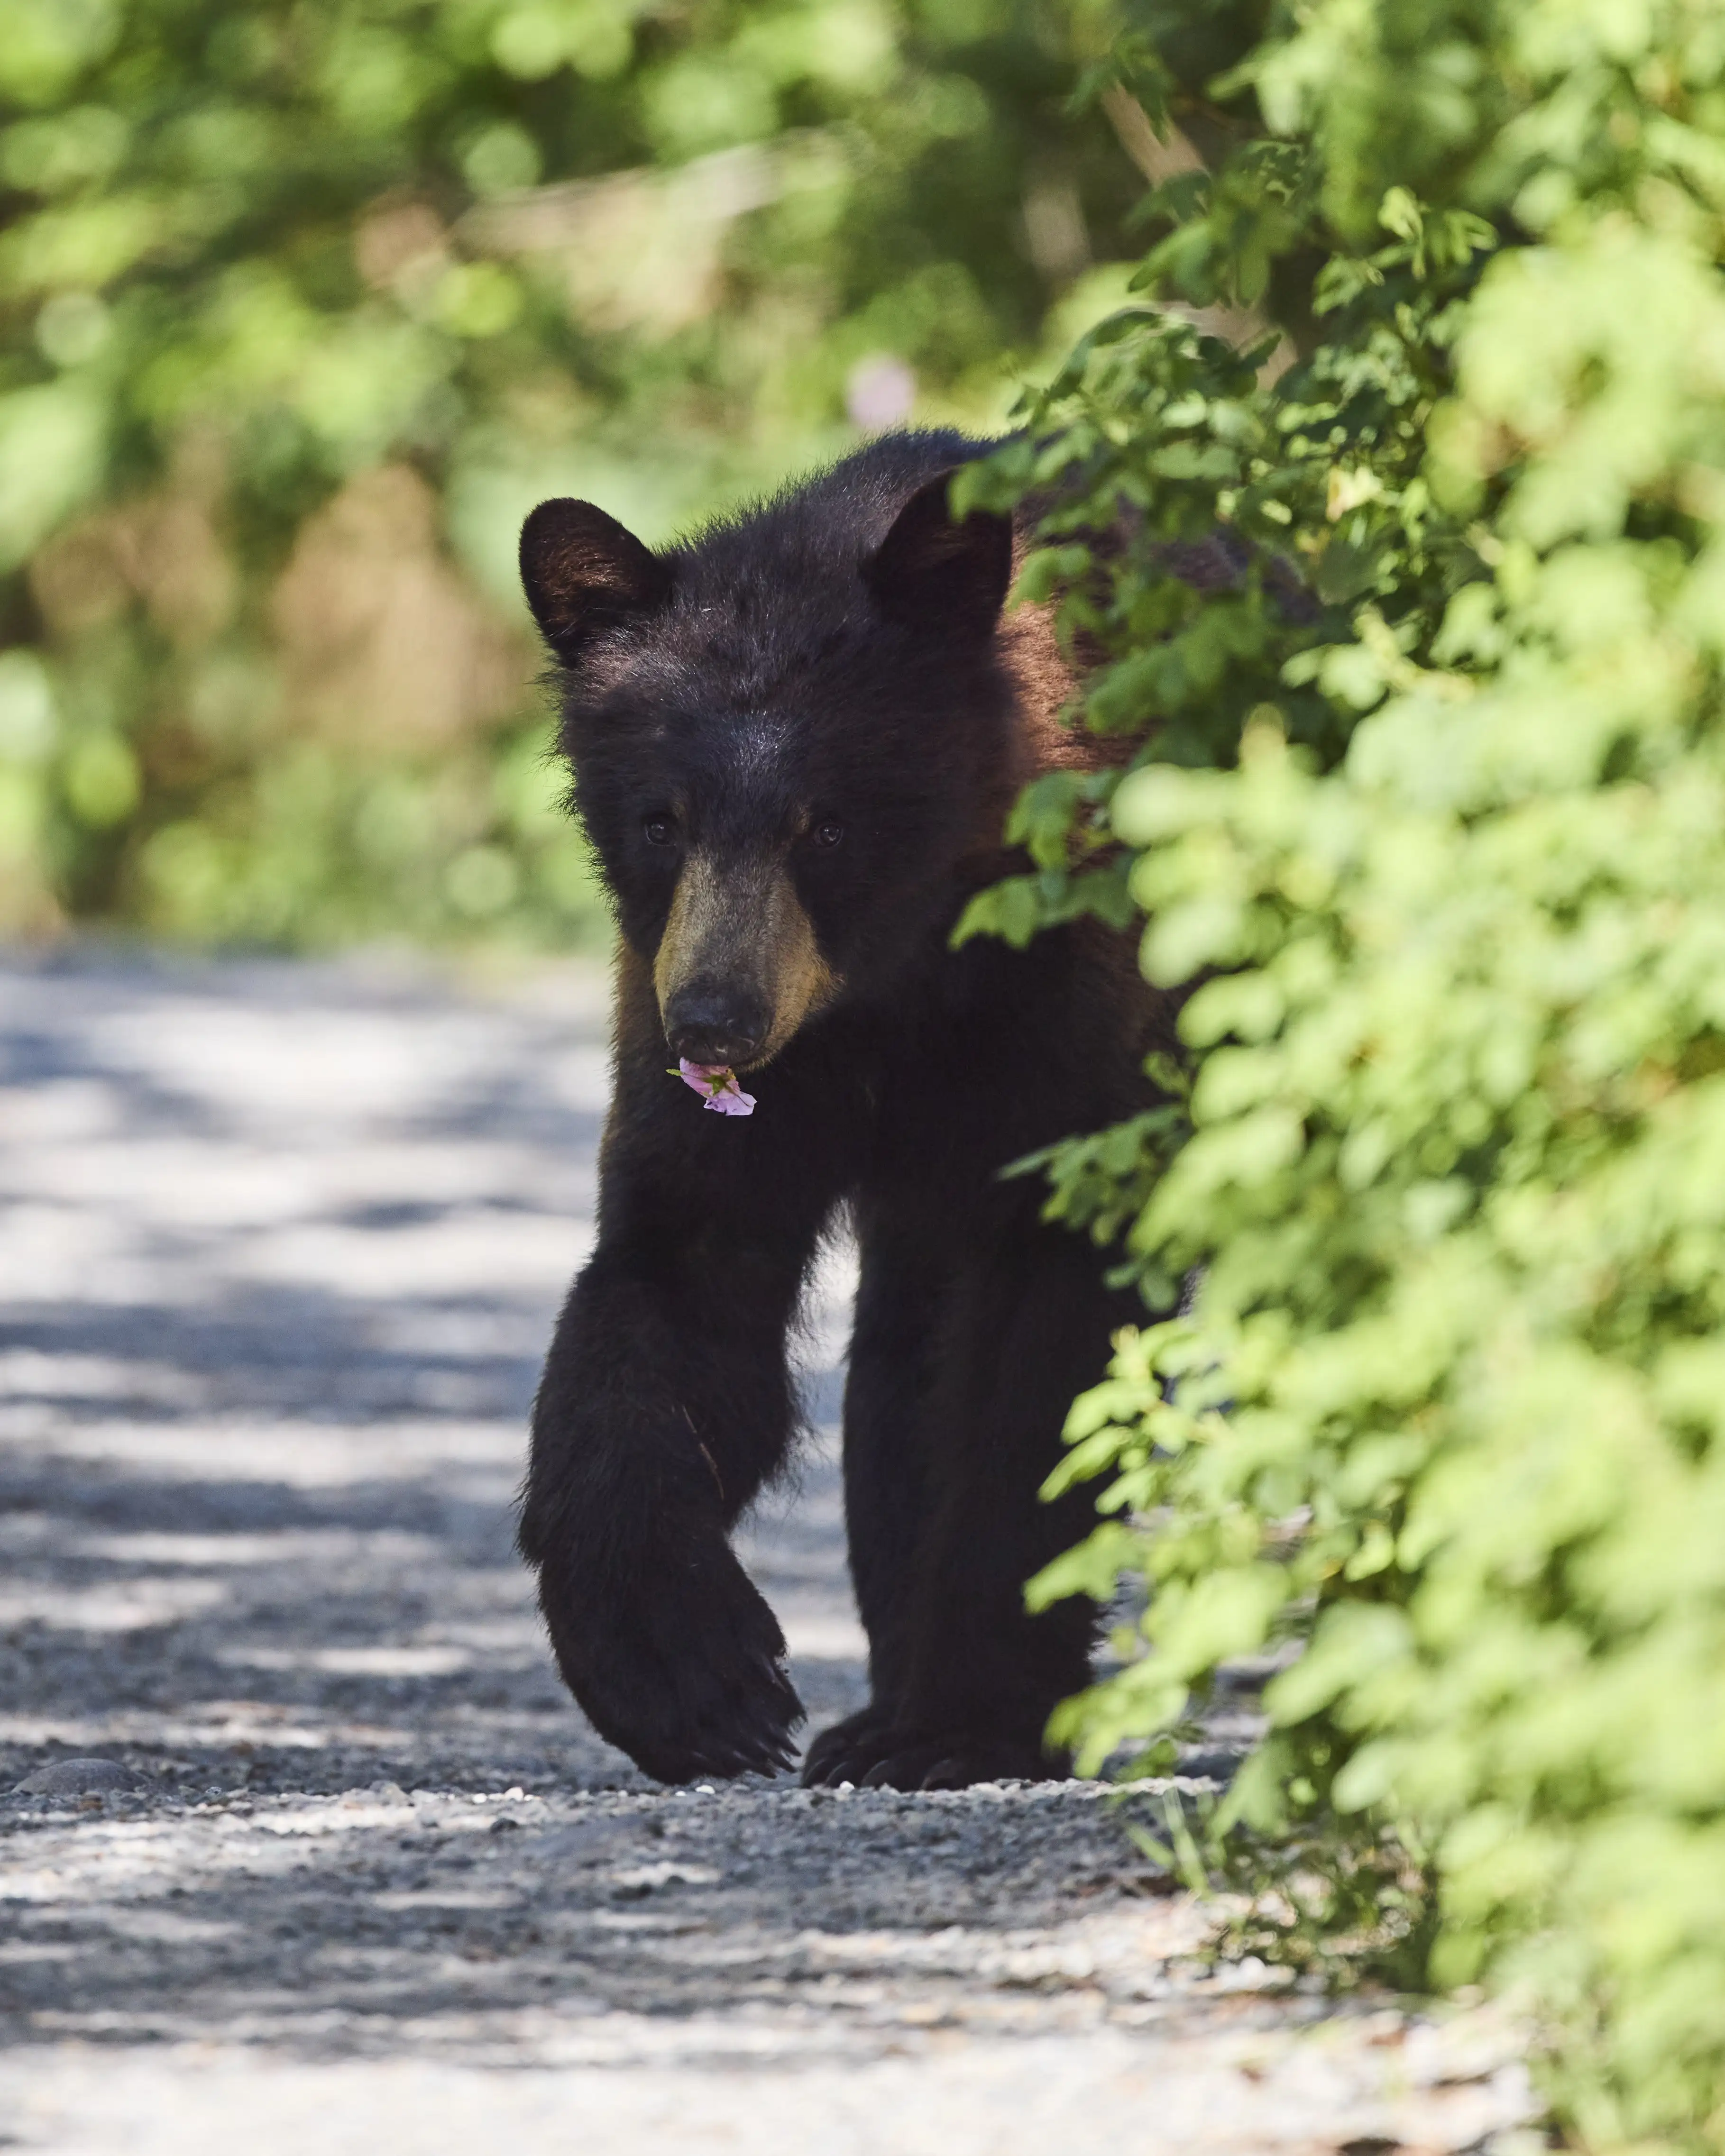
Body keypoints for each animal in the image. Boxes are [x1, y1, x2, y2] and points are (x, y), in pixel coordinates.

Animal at [515, 429, 1167, 1790]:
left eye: (826, 823)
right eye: (660, 819)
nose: (714, 1024)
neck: (889, 992)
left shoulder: (1069, 1016)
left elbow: (1038, 1380)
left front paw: (964, 1722)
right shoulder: (681, 1020)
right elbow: (671, 1294)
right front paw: (690, 1678)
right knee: (897, 1377)